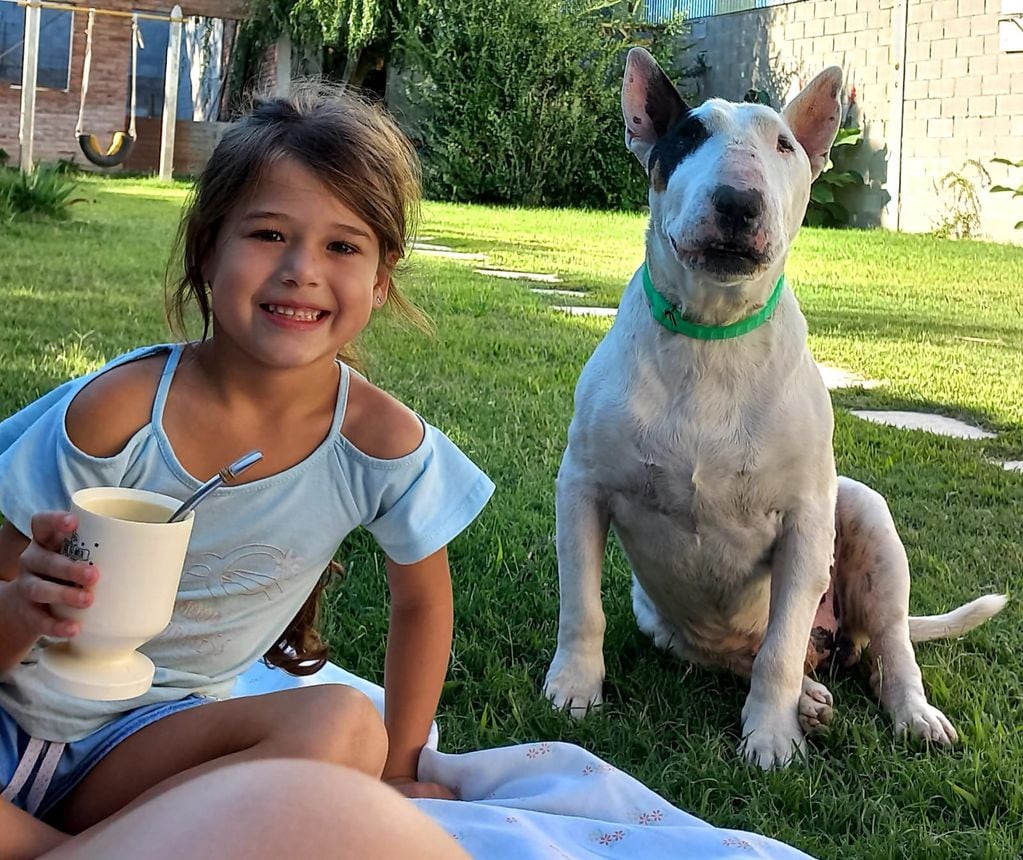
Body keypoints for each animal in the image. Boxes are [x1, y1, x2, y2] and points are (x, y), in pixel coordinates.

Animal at [544, 50, 1006, 768]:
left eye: (784, 144)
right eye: (690, 135)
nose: (738, 202)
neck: (713, 334)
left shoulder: (805, 522)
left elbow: (781, 649)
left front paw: (770, 736)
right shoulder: (582, 488)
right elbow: (581, 606)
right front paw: (573, 687)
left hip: (865, 516)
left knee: (884, 645)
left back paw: (909, 713)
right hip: (664, 620)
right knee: (743, 652)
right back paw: (812, 700)